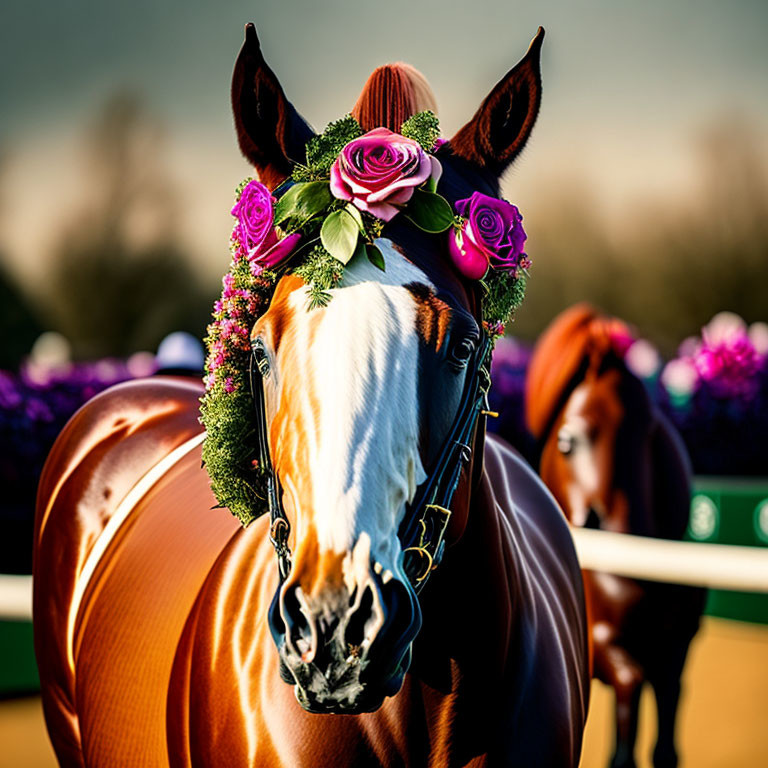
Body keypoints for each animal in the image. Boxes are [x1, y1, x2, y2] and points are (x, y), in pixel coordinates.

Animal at [524, 304, 704, 768]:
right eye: (566, 441)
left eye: (650, 432)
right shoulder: (606, 652)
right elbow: (628, 699)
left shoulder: (674, 654)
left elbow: (665, 744)